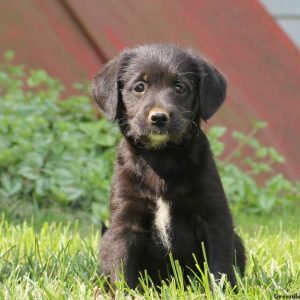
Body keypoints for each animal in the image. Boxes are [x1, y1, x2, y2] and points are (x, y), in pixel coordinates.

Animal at [92, 44, 246, 288]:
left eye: (179, 87)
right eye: (139, 87)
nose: (158, 118)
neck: (162, 157)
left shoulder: (213, 218)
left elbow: (219, 266)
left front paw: (220, 291)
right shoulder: (125, 222)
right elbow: (121, 267)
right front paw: (125, 292)